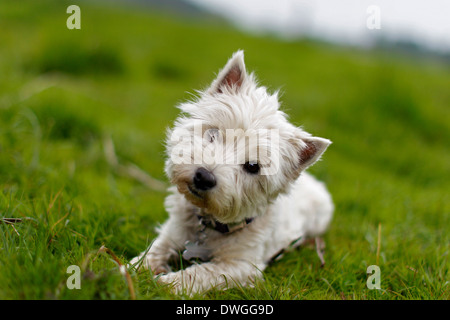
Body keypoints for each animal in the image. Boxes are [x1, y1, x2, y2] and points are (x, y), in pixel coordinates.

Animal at [130, 50, 334, 296]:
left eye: (253, 166)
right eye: (214, 133)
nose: (203, 177)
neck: (208, 222)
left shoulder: (241, 265)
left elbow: (200, 273)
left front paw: (165, 283)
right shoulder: (173, 232)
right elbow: (153, 250)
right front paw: (130, 269)